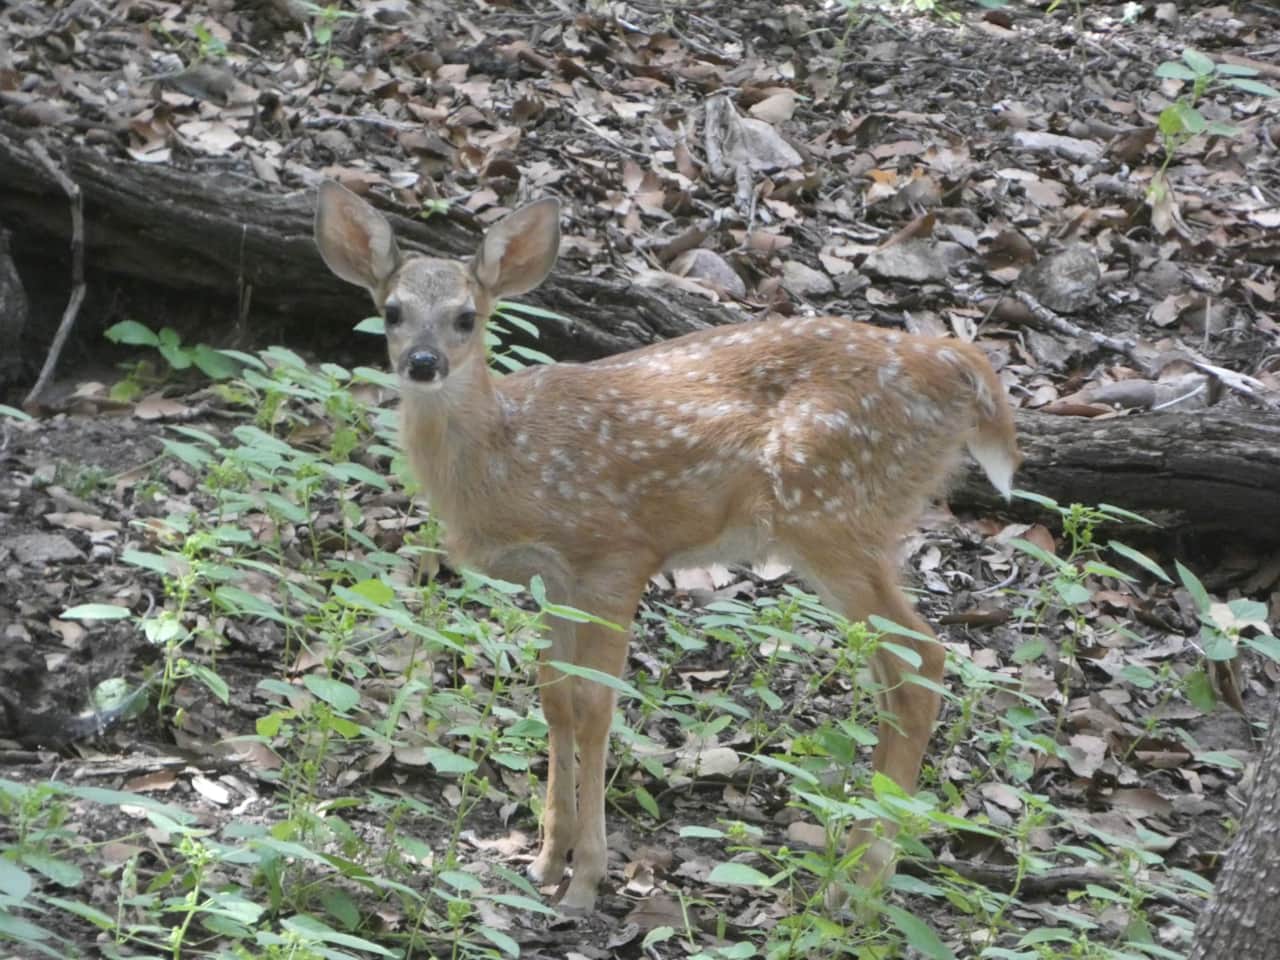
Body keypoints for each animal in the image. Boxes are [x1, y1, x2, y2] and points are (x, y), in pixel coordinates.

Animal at [314, 181, 1021, 912]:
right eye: (391, 311)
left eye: (466, 318)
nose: (422, 364)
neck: (509, 459)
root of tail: (962, 366)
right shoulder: (552, 580)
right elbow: (554, 698)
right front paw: (545, 859)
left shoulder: (616, 557)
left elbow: (596, 706)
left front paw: (586, 878)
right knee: (894, 676)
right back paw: (853, 861)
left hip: (834, 515)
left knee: (924, 659)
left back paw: (863, 883)